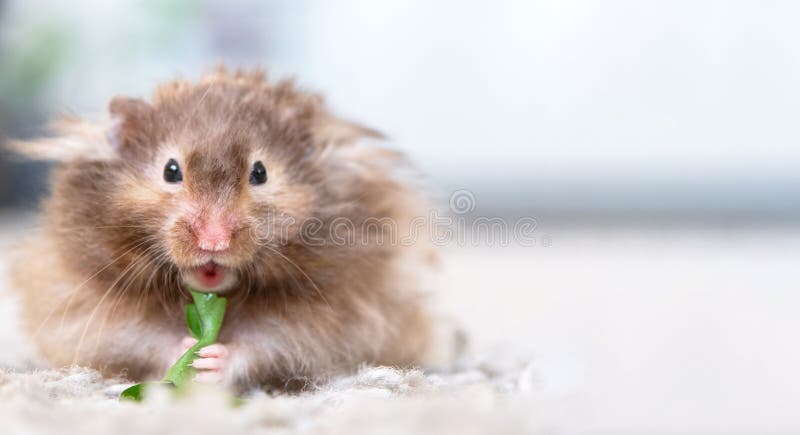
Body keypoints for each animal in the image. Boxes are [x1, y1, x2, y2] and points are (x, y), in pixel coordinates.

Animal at [7, 69, 438, 392]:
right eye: (171, 170)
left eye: (260, 173)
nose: (213, 241)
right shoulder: (85, 305)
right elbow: (144, 337)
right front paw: (188, 350)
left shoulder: (336, 319)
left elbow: (268, 342)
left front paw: (210, 359)